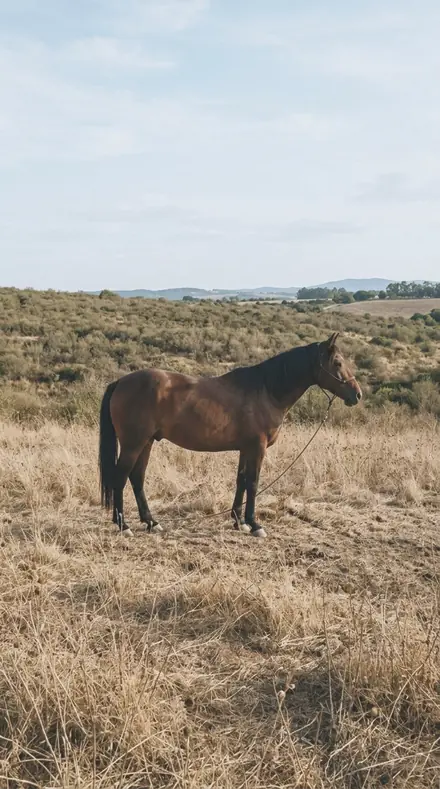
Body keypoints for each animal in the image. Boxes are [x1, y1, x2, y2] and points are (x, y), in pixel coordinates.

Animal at [99, 332, 362, 538]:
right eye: (337, 362)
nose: (357, 394)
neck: (266, 390)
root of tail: (121, 381)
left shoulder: (246, 448)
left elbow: (241, 481)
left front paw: (239, 521)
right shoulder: (257, 447)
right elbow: (253, 483)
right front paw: (255, 524)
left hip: (147, 442)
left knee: (137, 478)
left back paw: (151, 522)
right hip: (133, 444)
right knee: (120, 477)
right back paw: (124, 525)